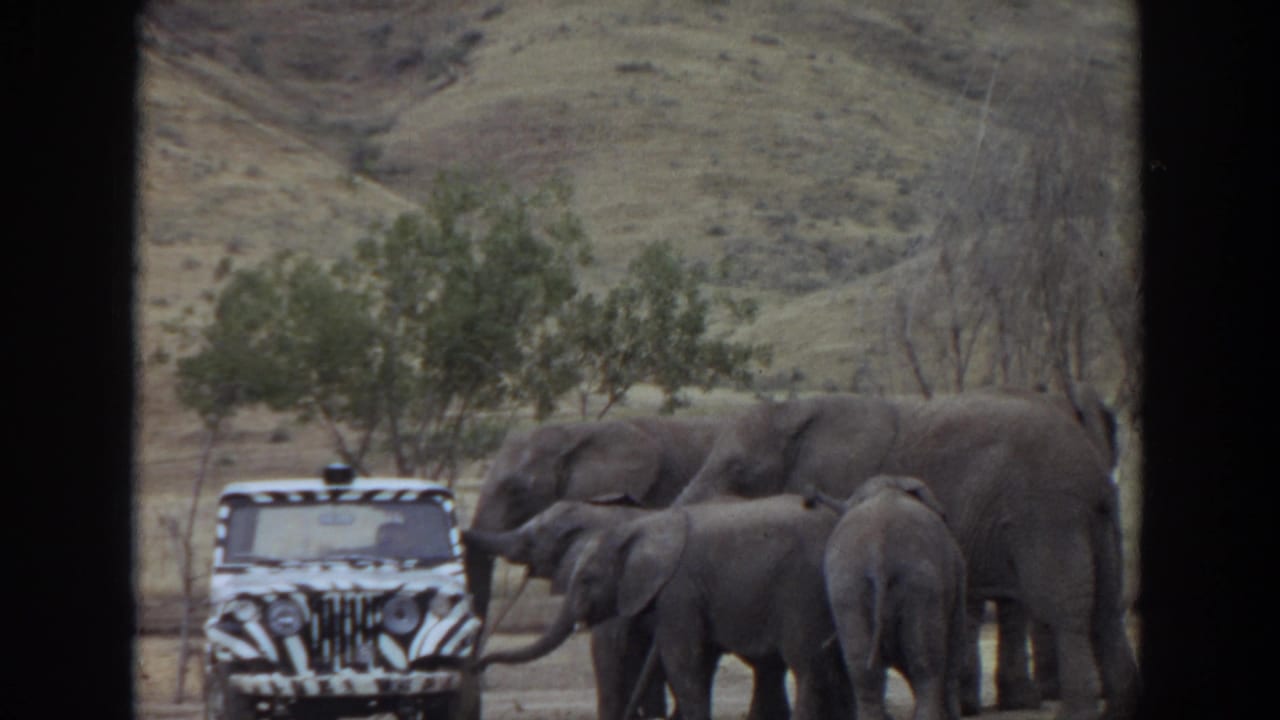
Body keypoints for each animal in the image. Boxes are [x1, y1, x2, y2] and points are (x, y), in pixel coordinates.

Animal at [476, 496, 853, 720]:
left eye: (586, 580)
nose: (479, 664)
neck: (638, 526)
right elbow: (689, 660)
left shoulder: (678, 591)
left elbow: (680, 660)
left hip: (801, 592)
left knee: (806, 668)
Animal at [808, 475, 967, 720]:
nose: (810, 493)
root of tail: (878, 552)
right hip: (922, 584)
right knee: (925, 664)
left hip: (848, 587)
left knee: (863, 669)